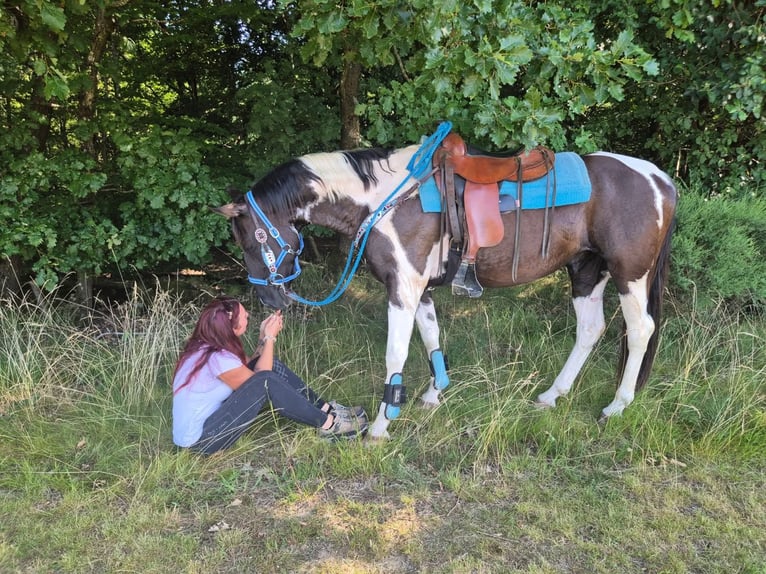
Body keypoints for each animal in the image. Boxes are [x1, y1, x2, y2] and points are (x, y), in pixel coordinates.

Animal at [214, 126, 677, 440]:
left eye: (251, 239)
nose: (269, 298)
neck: (384, 198)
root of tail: (660, 179)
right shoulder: (419, 290)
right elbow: (431, 337)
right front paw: (434, 395)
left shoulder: (402, 288)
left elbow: (396, 354)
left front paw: (381, 425)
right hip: (585, 271)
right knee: (590, 330)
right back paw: (553, 394)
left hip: (629, 274)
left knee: (640, 330)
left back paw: (617, 405)